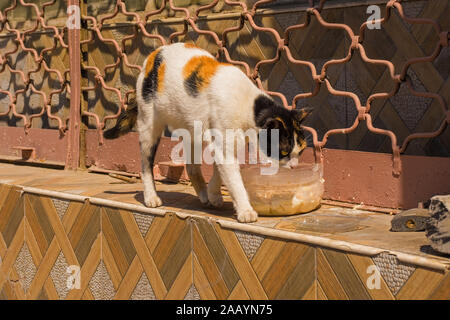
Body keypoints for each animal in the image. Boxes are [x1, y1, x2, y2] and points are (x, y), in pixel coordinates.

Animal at [103, 42, 312, 222]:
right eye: (283, 151)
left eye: (300, 151)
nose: (294, 166)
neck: (250, 106)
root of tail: (154, 55)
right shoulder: (224, 144)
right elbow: (234, 180)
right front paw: (245, 211)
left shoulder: (225, 143)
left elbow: (221, 172)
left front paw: (213, 194)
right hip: (149, 125)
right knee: (146, 164)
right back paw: (151, 197)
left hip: (191, 130)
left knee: (191, 166)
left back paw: (204, 195)